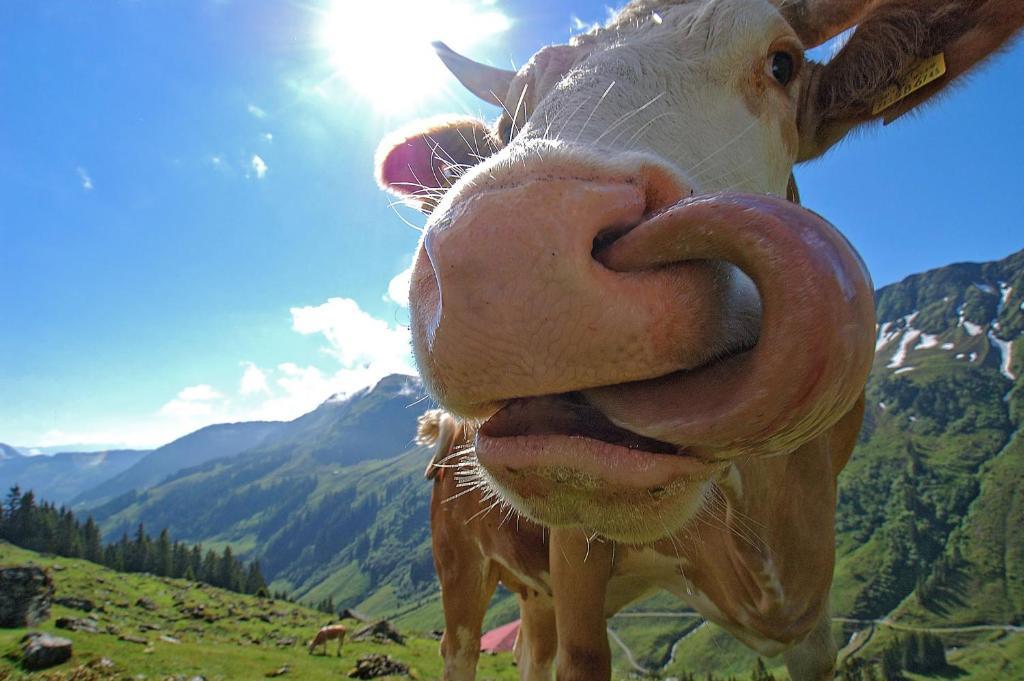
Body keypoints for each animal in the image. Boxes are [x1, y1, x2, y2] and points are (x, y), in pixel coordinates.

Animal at [378, 1, 1024, 679]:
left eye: (782, 64)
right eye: (507, 123)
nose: (511, 244)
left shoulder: (815, 610)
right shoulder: (573, 556)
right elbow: (582, 653)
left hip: (533, 598)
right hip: (460, 564)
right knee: (460, 646)